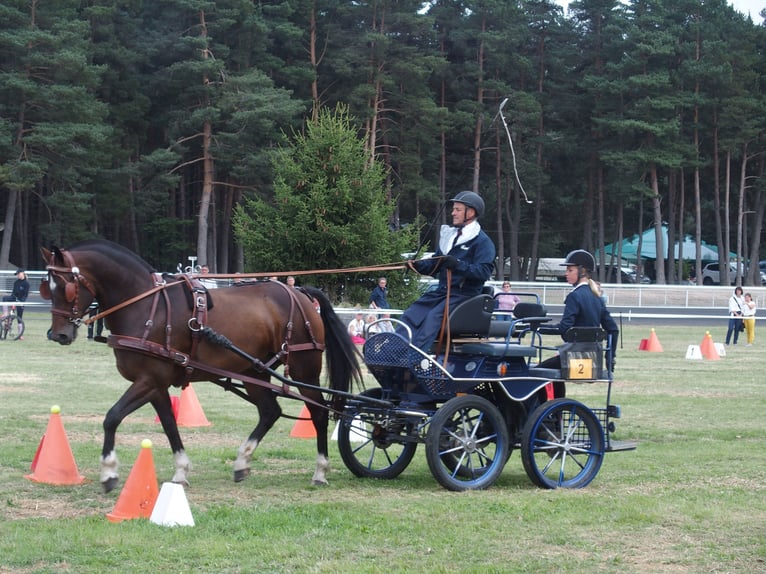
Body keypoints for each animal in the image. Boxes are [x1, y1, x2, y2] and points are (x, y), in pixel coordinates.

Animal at [40, 241, 364, 492]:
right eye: (47, 288)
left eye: (67, 288)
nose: (58, 335)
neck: (145, 307)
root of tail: (301, 294)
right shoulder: (155, 384)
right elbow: (169, 425)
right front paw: (181, 471)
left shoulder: (147, 380)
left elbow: (112, 417)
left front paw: (109, 472)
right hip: (253, 371)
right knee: (269, 411)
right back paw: (242, 462)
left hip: (302, 368)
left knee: (319, 413)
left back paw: (320, 470)